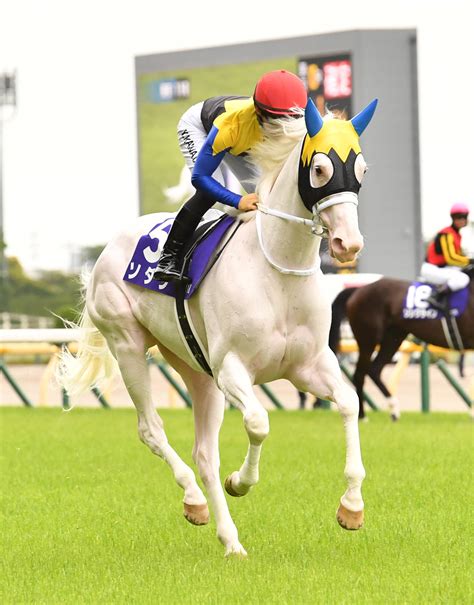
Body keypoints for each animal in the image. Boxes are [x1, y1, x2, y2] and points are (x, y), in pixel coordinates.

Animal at [59, 96, 378, 556]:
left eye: (362, 170)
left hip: (195, 367)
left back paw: (228, 538)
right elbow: (259, 423)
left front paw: (351, 507)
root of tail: (109, 248)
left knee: (204, 454)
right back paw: (195, 500)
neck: (277, 269)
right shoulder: (232, 370)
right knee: (151, 430)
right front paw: (241, 482)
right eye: (319, 169)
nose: (347, 244)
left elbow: (350, 403)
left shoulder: (309, 366)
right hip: (128, 344)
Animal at [330, 268, 474, 420]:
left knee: (374, 369)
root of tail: (359, 289)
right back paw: (363, 416)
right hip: (368, 339)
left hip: (393, 338)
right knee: (359, 374)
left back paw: (394, 409)